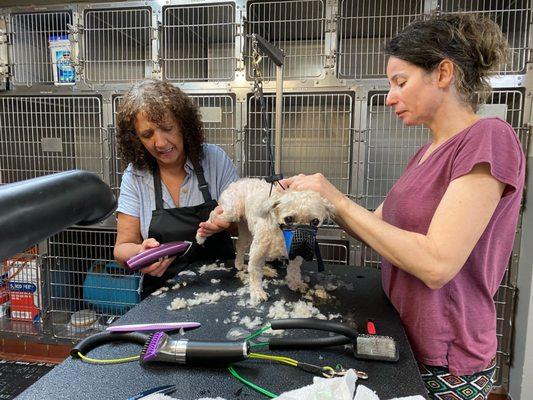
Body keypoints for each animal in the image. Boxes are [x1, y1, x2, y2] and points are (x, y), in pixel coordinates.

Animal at [195, 178, 332, 304]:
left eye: (315, 221)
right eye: (288, 219)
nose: (303, 239)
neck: (280, 234)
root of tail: (238, 182)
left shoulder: (295, 254)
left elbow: (294, 270)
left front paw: (295, 283)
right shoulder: (257, 253)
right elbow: (255, 273)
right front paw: (257, 292)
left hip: (246, 231)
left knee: (240, 246)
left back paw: (240, 264)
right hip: (231, 212)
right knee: (213, 214)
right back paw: (201, 235)